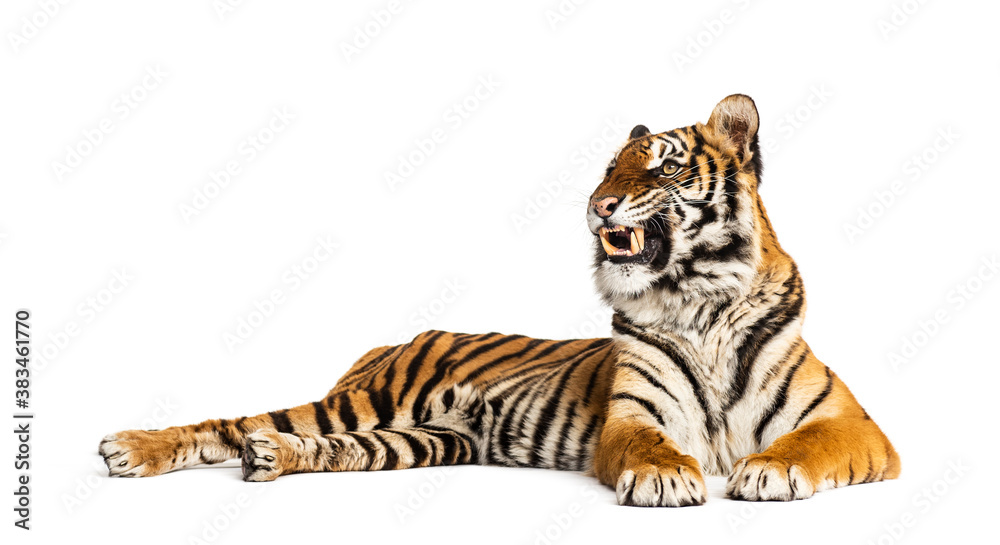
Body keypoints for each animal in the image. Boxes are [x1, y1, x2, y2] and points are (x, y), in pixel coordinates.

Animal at [100, 94, 900, 506]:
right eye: (609, 168)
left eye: (662, 167)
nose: (598, 205)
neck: (696, 301)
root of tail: (391, 341)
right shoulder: (630, 418)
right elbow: (650, 445)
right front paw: (668, 475)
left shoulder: (856, 425)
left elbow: (809, 442)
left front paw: (764, 470)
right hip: (369, 401)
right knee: (230, 421)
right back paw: (132, 449)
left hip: (427, 436)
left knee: (315, 445)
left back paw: (270, 458)